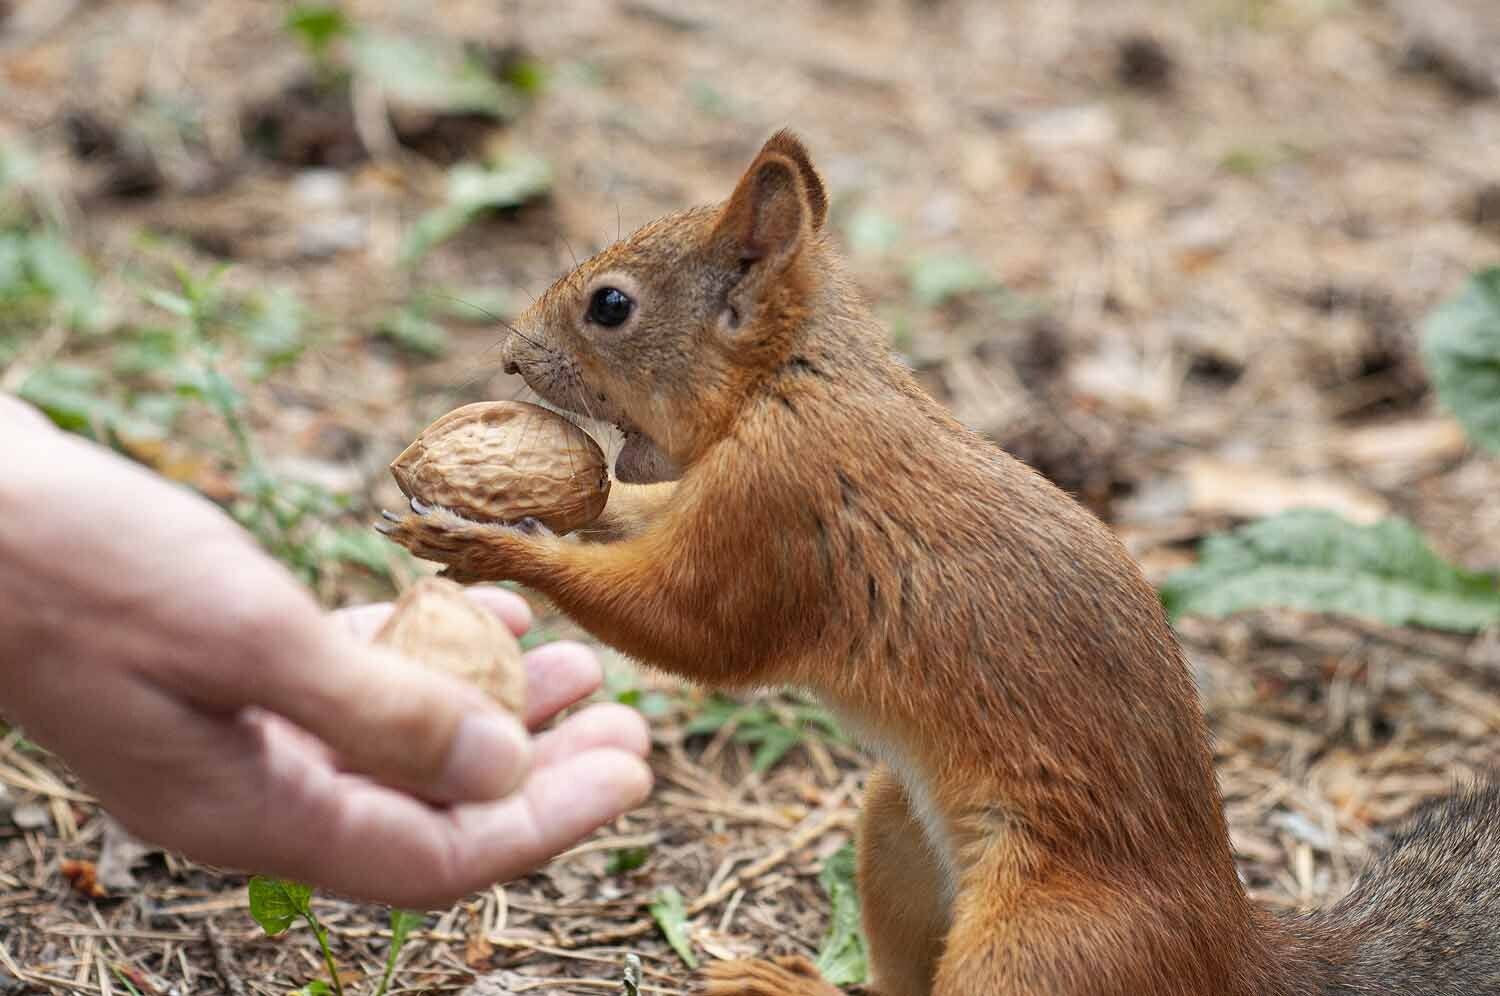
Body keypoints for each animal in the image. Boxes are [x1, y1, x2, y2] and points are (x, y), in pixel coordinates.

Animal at [381, 132, 1500, 996]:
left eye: (610, 306)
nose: (511, 359)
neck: (791, 382)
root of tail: (1231, 949)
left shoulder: (781, 509)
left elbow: (697, 632)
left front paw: (489, 541)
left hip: (1039, 951)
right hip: (898, 838)